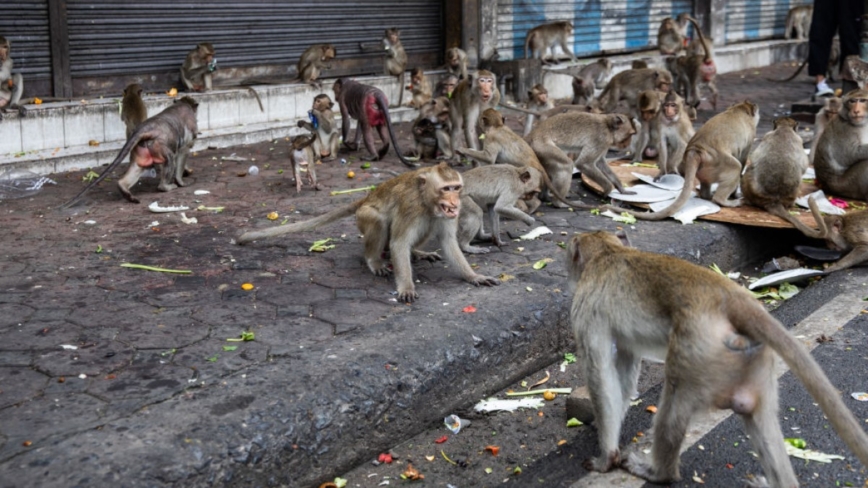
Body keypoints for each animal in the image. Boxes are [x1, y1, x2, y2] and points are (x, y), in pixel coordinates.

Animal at [64, 98, 200, 207]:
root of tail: (145, 128)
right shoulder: (189, 135)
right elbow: (183, 151)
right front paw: (181, 181)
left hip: (140, 149)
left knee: (137, 167)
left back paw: (124, 188)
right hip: (157, 145)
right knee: (170, 158)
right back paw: (165, 187)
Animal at [237, 162, 498, 304]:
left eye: (457, 188)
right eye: (446, 189)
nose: (454, 202)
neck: (426, 199)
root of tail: (365, 197)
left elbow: (448, 241)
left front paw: (473, 276)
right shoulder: (411, 207)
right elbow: (398, 244)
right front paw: (406, 287)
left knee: (429, 224)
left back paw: (417, 252)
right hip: (363, 216)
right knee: (379, 221)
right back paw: (374, 260)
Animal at [458, 108, 600, 212]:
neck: (498, 126)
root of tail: (540, 168)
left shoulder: (491, 137)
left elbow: (489, 158)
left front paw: (462, 150)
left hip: (533, 178)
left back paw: (533, 206)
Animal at [564, 232, 868, 484]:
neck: (606, 252)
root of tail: (732, 297)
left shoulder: (585, 307)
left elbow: (600, 375)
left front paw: (606, 458)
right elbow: (624, 374)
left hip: (697, 351)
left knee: (674, 403)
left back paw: (659, 472)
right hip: (755, 359)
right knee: (757, 416)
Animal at [604, 100, 760, 220]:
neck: (739, 108)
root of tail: (696, 150)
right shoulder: (751, 134)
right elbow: (743, 159)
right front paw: (735, 194)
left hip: (706, 168)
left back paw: (707, 196)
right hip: (718, 163)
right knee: (735, 167)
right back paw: (721, 200)